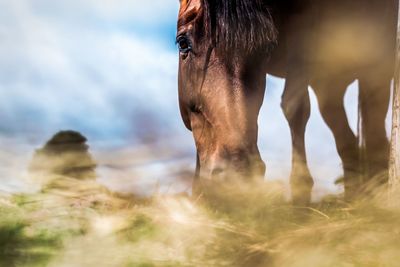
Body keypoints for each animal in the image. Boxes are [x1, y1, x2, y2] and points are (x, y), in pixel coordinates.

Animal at [177, 0, 398, 205]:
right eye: (182, 44)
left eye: (267, 49)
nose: (237, 172)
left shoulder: (304, 28)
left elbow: (294, 106)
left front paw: (301, 195)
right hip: (328, 83)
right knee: (348, 140)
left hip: (374, 68)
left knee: (375, 134)